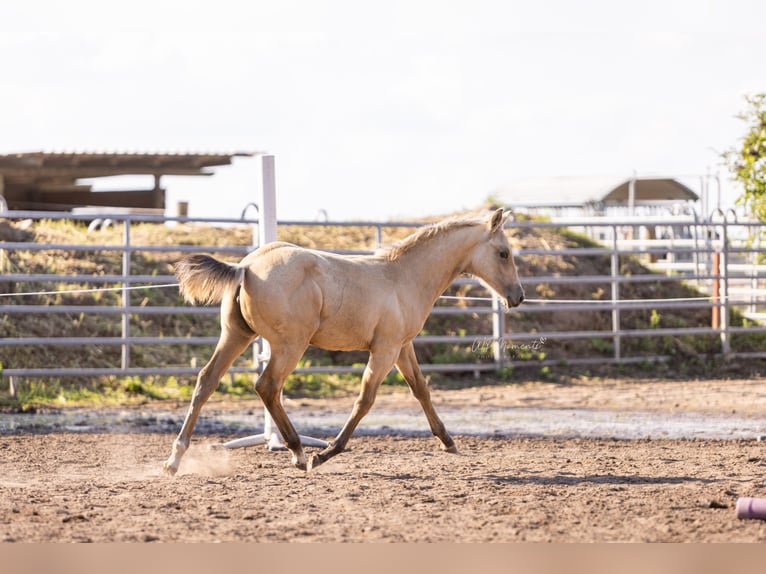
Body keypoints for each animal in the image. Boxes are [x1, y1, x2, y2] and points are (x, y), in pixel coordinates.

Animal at [162, 208, 524, 475]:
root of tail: (247, 268)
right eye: (503, 253)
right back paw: (299, 452)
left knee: (206, 381)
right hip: (290, 345)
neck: (404, 276)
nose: (518, 296)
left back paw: (175, 459)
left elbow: (421, 389)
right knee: (267, 386)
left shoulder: (402, 346)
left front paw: (448, 441)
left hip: (236, 335)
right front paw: (327, 452)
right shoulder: (385, 349)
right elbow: (365, 399)